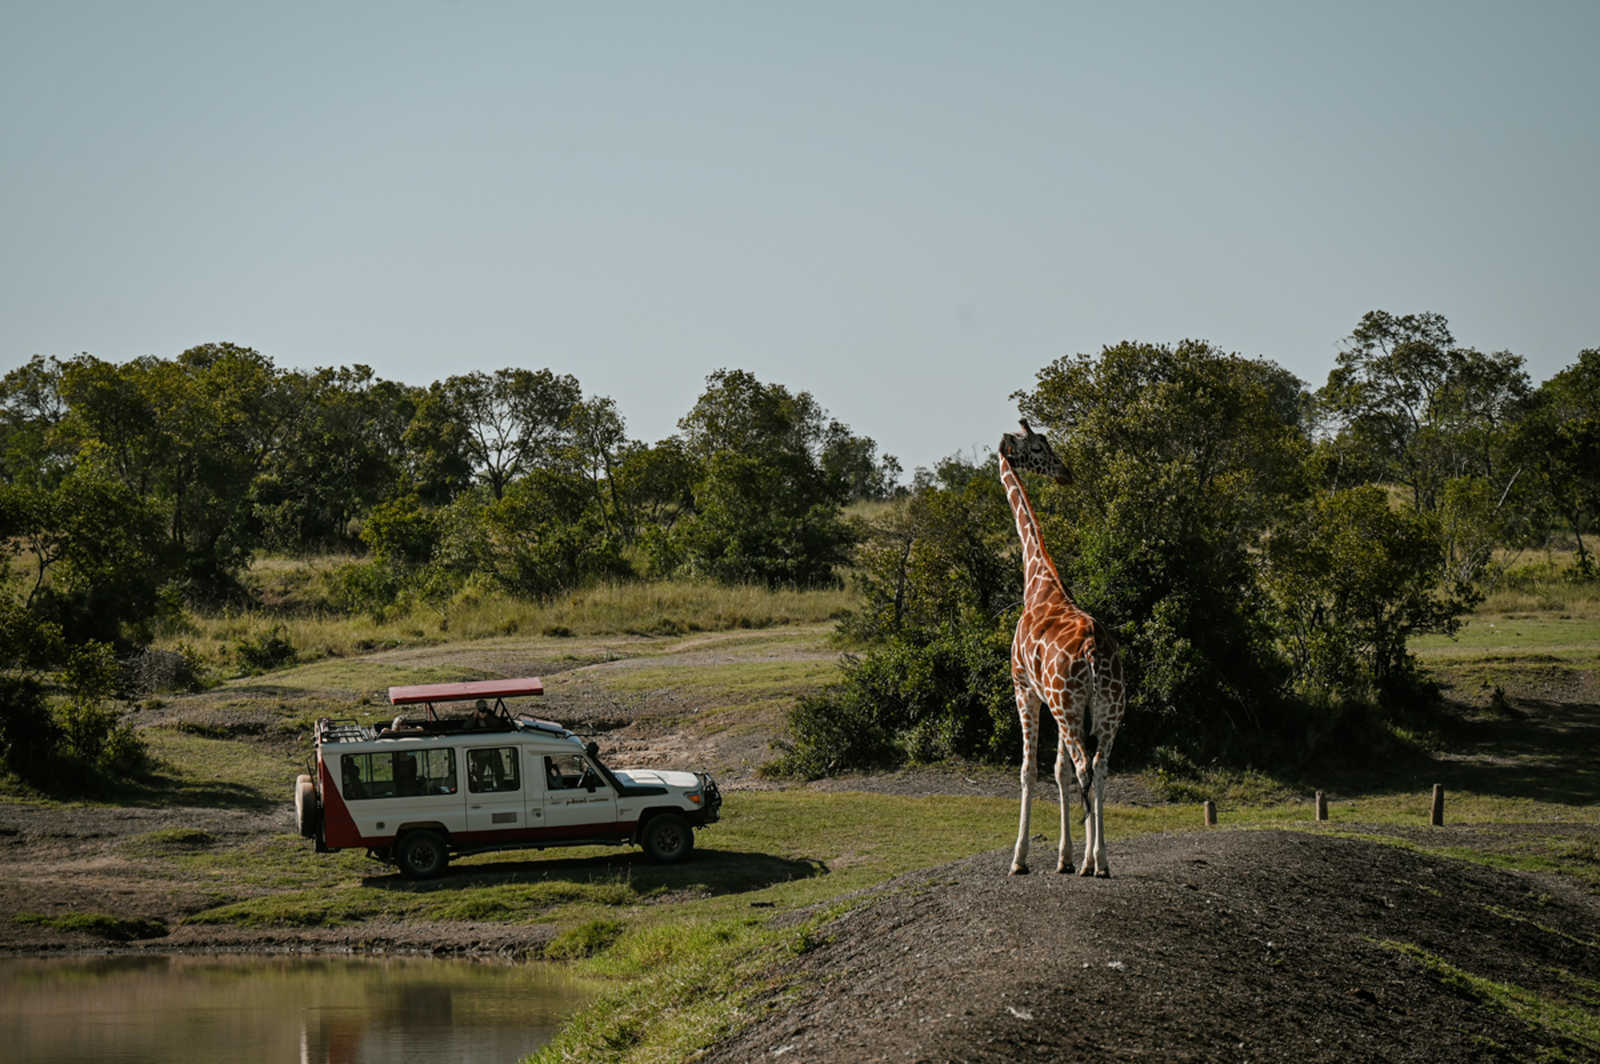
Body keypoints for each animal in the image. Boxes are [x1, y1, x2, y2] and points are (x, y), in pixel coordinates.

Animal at [998, 420, 1125, 877]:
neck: (1038, 580)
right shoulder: (1055, 702)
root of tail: (1092, 651)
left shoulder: (1025, 689)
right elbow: (1059, 771)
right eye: (1039, 446)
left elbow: (1029, 770)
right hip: (1108, 708)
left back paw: (1095, 862)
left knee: (1086, 765)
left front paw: (1020, 859)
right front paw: (1065, 856)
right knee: (1100, 767)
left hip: (1069, 707)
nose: (1065, 473)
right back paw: (1099, 860)